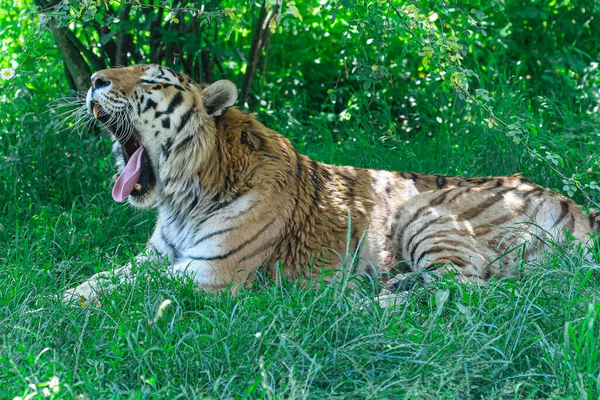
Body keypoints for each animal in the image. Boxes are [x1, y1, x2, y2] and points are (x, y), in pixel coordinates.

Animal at [62, 63, 600, 304]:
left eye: (152, 81)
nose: (93, 79)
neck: (182, 199)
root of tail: (576, 207)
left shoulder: (210, 274)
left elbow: (131, 295)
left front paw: (54, 318)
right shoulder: (154, 258)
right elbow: (94, 281)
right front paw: (56, 300)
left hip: (426, 211)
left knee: (468, 289)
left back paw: (364, 304)